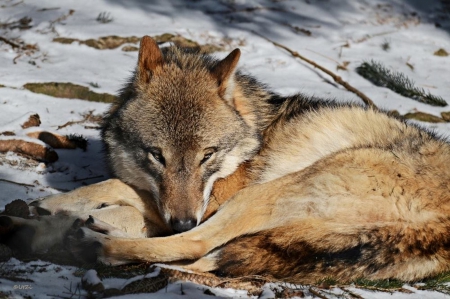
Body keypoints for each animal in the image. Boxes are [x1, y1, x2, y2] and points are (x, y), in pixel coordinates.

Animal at [0, 36, 450, 284]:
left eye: (207, 156)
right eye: (157, 155)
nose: (182, 219)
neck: (254, 138)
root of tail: (438, 232)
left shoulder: (207, 201)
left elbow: (119, 187)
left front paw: (51, 209)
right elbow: (125, 192)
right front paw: (53, 213)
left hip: (266, 194)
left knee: (198, 244)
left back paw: (89, 242)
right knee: (203, 257)